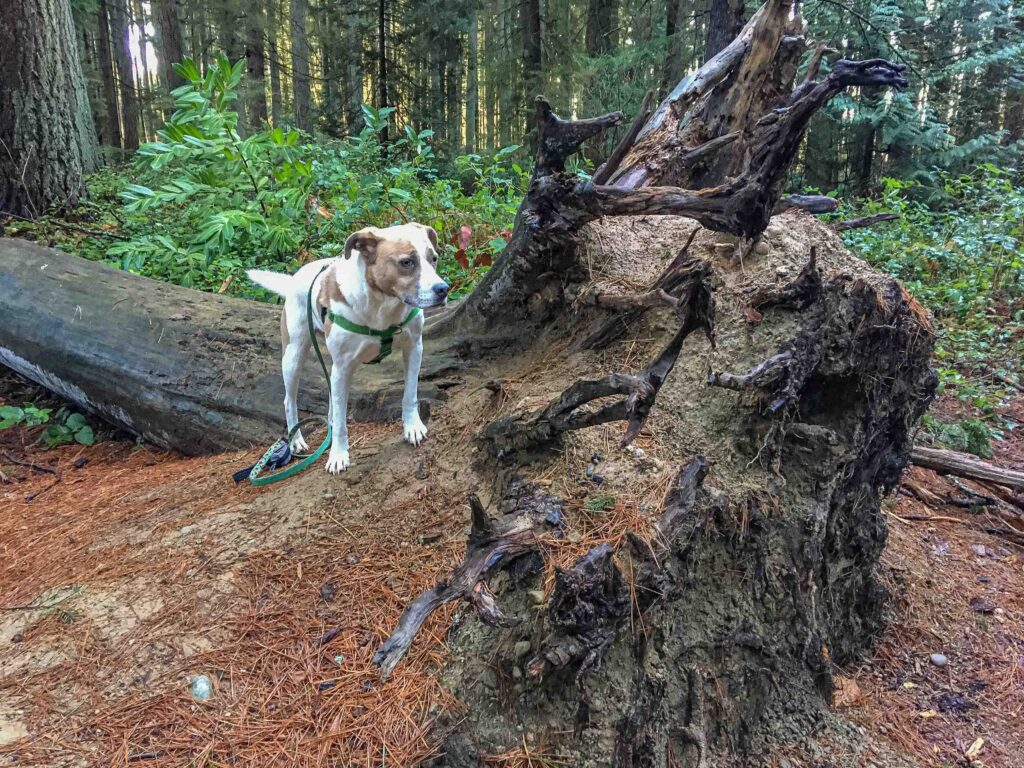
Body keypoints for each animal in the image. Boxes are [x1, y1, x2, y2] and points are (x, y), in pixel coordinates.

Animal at [246, 222, 448, 475]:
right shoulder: (343, 367)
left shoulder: (413, 346)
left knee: (332, 397)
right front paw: (338, 456)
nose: (443, 289)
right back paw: (296, 440)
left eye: (434, 258)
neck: (381, 305)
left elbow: (409, 393)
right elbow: (343, 421)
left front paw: (412, 426)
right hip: (294, 354)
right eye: (406, 262)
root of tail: (295, 278)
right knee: (290, 401)